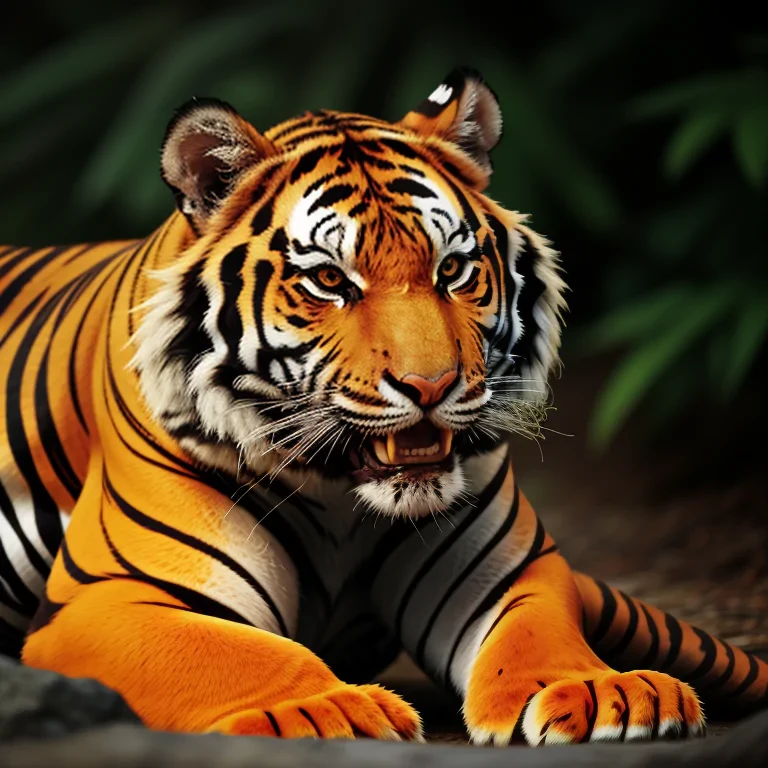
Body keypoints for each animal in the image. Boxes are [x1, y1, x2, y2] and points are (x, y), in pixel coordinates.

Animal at [0, 67, 765, 746]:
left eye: (452, 270)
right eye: (329, 280)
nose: (432, 386)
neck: (342, 498)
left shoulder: (513, 571)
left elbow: (538, 633)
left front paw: (598, 690)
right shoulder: (111, 597)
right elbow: (237, 651)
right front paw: (322, 709)